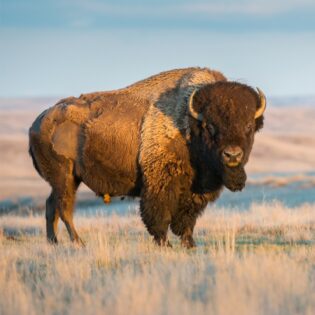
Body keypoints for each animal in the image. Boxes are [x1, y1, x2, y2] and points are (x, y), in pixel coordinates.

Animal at [29, 68, 266, 248]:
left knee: (51, 206)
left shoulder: (194, 192)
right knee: (64, 208)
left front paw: (190, 244)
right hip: (65, 177)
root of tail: (38, 122)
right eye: (210, 126)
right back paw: (78, 242)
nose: (232, 154)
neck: (189, 122)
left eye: (248, 126)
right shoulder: (159, 183)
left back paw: (54, 242)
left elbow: (187, 219)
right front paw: (165, 244)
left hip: (66, 180)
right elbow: (159, 215)